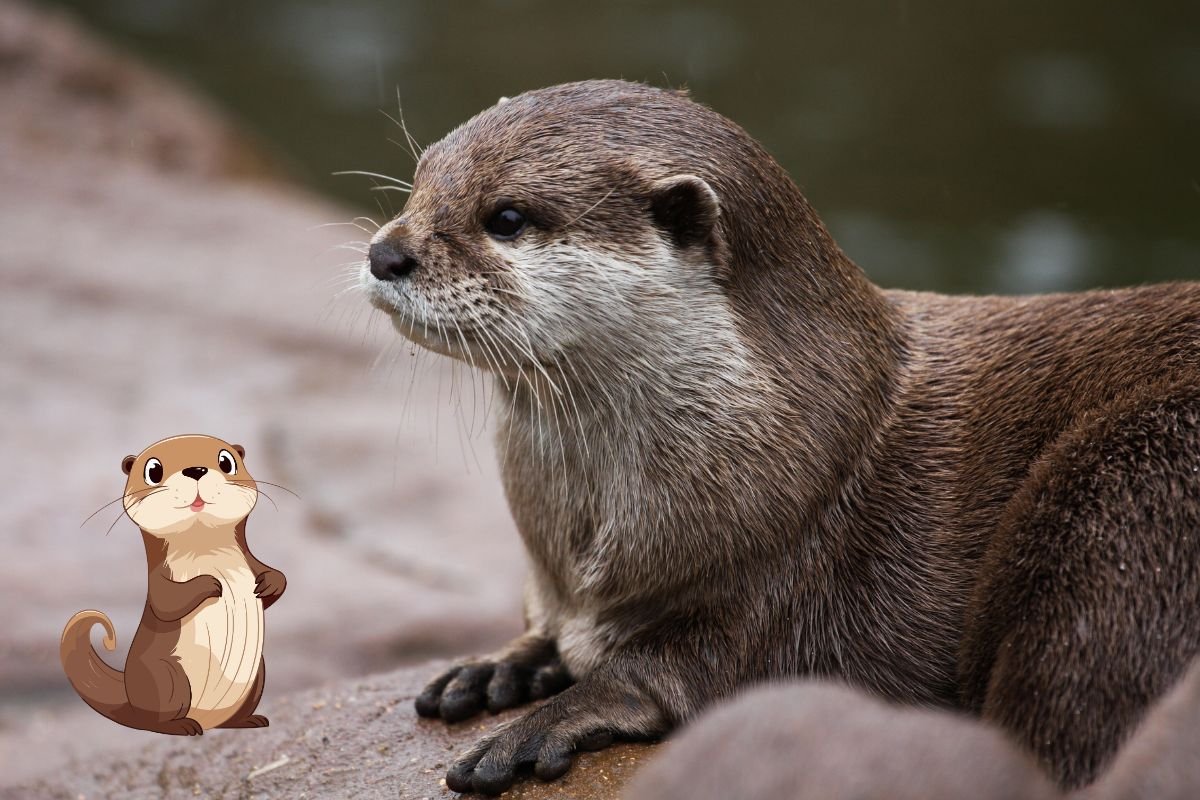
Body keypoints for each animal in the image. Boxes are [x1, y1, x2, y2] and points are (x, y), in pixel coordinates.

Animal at [60, 434, 285, 734]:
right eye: (153, 470)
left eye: (226, 461)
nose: (196, 470)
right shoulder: (159, 582)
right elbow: (166, 602)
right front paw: (210, 583)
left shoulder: (251, 563)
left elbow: (275, 580)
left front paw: (269, 583)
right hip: (166, 675)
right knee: (154, 720)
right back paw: (183, 726)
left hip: (258, 670)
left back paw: (248, 720)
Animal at [357, 79, 1200, 796]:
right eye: (421, 180)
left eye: (505, 217)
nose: (384, 252)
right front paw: (500, 664)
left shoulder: (788, 589)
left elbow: (682, 671)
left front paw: (551, 716)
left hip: (1122, 505)